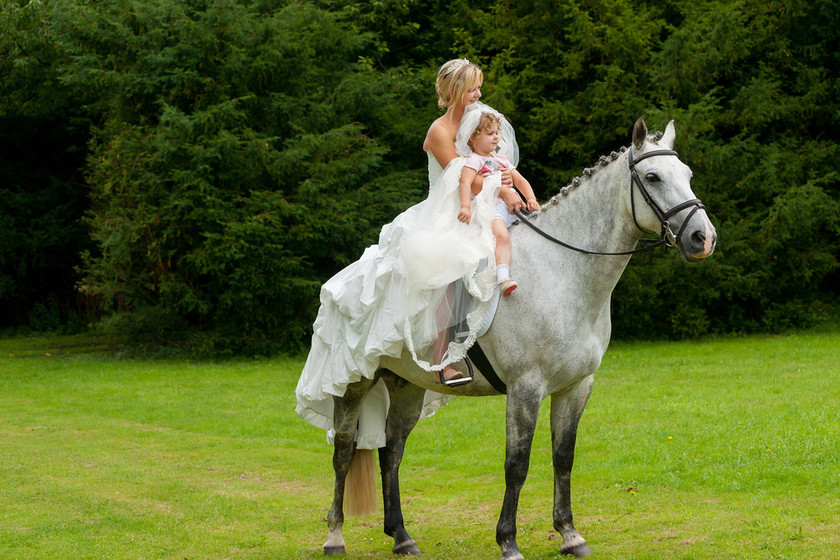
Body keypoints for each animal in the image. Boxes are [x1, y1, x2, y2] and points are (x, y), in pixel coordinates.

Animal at [322, 116, 716, 556]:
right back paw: (335, 537)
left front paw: (570, 535)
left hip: (407, 385)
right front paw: (508, 541)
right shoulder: (525, 388)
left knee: (391, 452)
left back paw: (402, 537)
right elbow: (517, 464)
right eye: (652, 176)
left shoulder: (576, 386)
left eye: (687, 175)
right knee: (343, 451)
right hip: (354, 384)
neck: (562, 270)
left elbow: (563, 457)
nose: (703, 238)